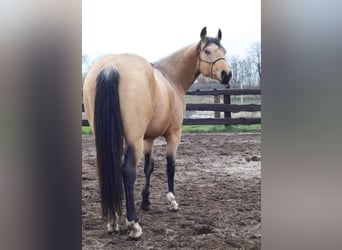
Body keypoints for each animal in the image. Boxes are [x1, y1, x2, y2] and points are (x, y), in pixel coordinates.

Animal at [83, 26, 232, 239]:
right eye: (208, 51)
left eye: (224, 51)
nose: (227, 74)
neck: (171, 78)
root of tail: (111, 67)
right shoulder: (173, 134)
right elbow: (170, 166)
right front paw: (172, 201)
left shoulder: (149, 138)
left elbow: (149, 167)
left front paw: (146, 201)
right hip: (133, 139)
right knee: (127, 172)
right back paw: (133, 224)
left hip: (107, 138)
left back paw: (113, 221)